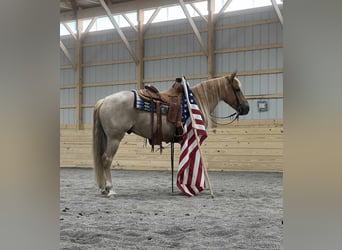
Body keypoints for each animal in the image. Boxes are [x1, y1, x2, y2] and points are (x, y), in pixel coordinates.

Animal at [93, 71, 248, 196]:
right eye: (237, 88)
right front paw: (192, 186)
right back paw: (110, 189)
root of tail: (104, 100)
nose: (246, 108)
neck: (195, 101)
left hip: (107, 137)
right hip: (114, 138)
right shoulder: (193, 137)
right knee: (106, 159)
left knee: (102, 159)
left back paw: (104, 189)